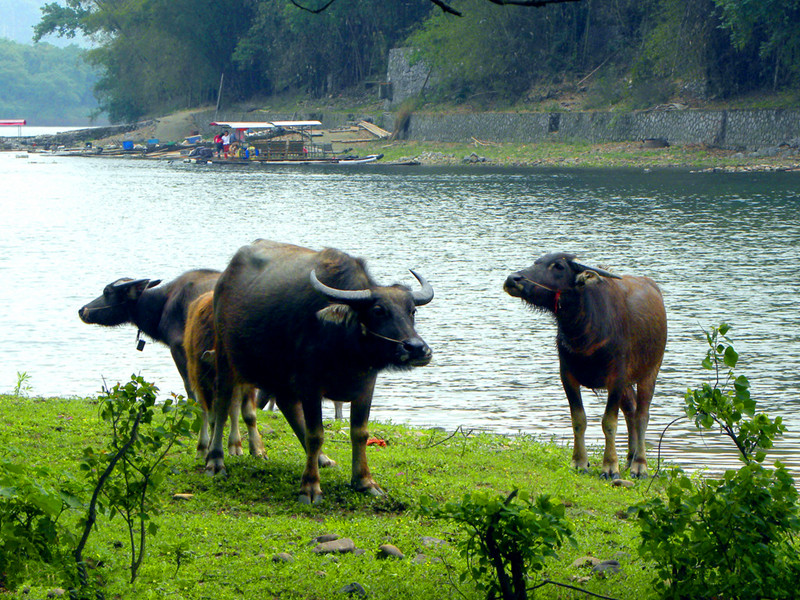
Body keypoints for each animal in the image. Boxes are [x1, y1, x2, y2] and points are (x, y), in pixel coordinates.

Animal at [183, 290, 264, 460]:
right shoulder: (206, 382)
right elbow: (213, 417)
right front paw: (212, 448)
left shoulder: (246, 384)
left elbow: (248, 415)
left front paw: (257, 449)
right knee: (204, 412)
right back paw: (203, 448)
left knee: (233, 410)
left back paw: (235, 445)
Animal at [206, 239, 432, 502]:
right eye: (378, 310)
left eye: (412, 311)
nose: (417, 348)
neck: (345, 346)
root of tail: (223, 280)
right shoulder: (310, 385)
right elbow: (316, 434)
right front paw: (310, 486)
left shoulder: (366, 386)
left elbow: (360, 433)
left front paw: (365, 481)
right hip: (225, 357)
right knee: (222, 404)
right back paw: (215, 461)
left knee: (287, 406)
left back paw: (323, 459)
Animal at [506, 252, 668, 478]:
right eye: (537, 262)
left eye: (558, 266)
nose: (513, 279)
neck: (584, 332)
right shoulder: (567, 376)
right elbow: (578, 420)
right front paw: (579, 462)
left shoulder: (616, 377)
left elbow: (609, 423)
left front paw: (610, 467)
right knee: (631, 410)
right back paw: (629, 459)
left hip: (650, 371)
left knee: (642, 415)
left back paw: (639, 465)